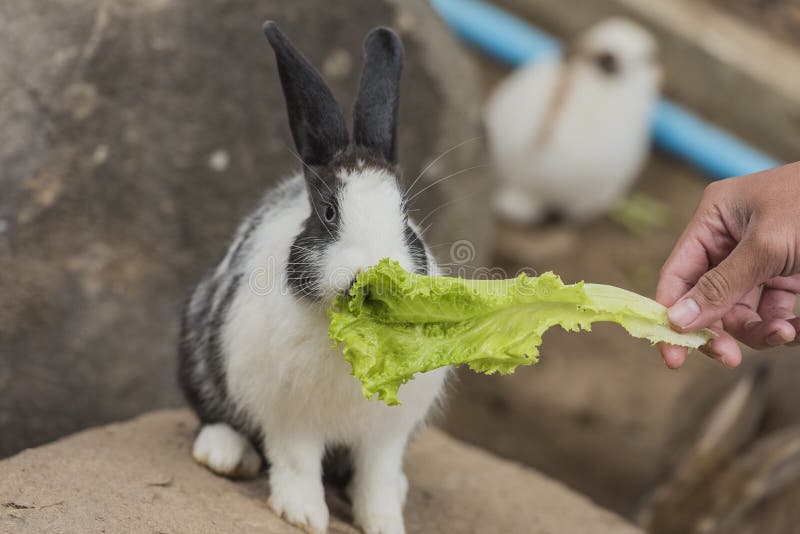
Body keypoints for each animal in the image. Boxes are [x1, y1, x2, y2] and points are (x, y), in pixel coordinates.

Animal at [177, 21, 448, 534]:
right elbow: (298, 464)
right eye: (328, 214)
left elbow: (376, 479)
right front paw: (303, 515)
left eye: (406, 219)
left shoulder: (385, 435)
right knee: (211, 415)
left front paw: (384, 522)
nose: (376, 278)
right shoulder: (290, 418)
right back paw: (225, 454)